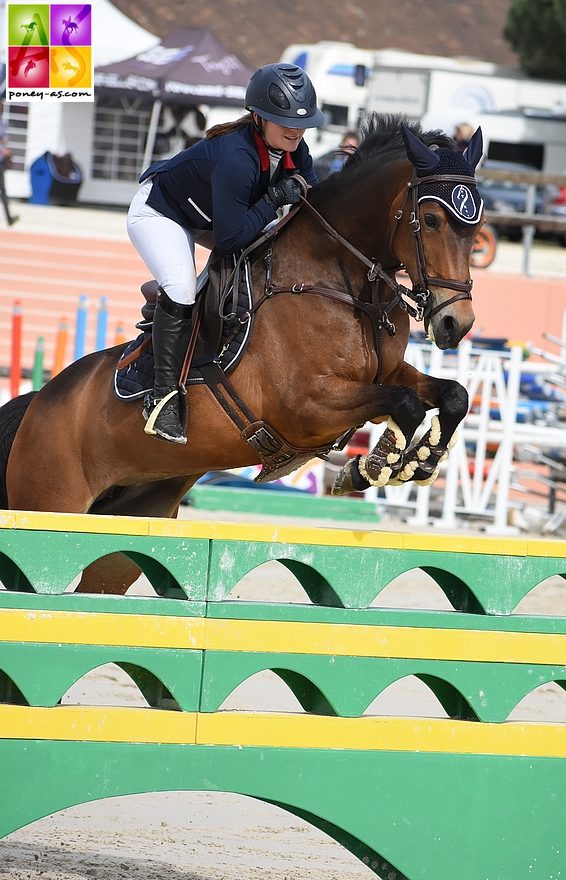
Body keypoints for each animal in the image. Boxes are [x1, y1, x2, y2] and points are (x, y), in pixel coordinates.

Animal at [1, 113, 488, 596]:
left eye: (476, 228)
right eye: (430, 219)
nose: (455, 324)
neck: (343, 280)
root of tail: (39, 402)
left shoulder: (385, 375)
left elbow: (453, 396)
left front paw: (418, 462)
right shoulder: (306, 406)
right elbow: (405, 405)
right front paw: (376, 464)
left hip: (126, 529)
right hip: (50, 508)